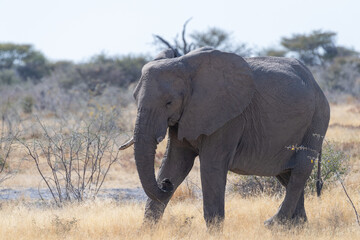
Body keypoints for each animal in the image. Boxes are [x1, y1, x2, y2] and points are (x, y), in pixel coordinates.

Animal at [119, 47, 330, 229]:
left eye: (169, 102)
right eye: (134, 98)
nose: (166, 184)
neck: (186, 66)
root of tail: (315, 82)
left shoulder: (228, 117)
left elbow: (211, 166)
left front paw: (214, 232)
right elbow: (176, 163)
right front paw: (146, 231)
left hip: (317, 118)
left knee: (300, 170)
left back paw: (272, 224)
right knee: (287, 174)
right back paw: (296, 228)